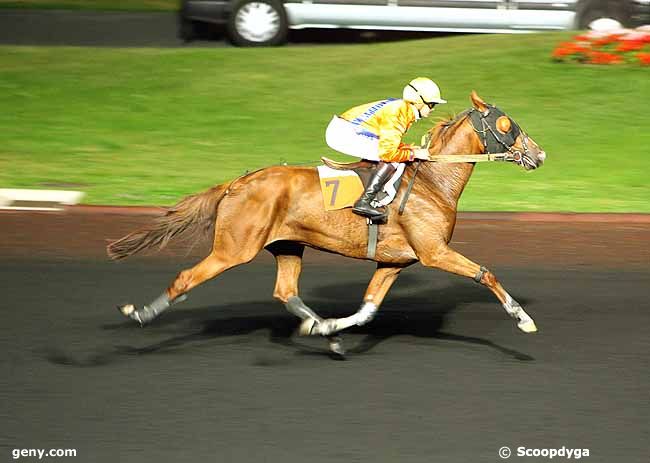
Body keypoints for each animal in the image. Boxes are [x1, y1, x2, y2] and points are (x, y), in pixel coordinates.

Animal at [109, 91, 544, 358]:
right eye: (507, 125)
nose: (539, 154)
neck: (434, 182)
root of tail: (237, 182)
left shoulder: (394, 262)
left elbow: (368, 310)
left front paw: (331, 329)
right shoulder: (434, 252)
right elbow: (485, 273)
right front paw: (523, 319)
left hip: (287, 245)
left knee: (286, 292)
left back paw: (325, 332)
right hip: (234, 248)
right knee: (187, 278)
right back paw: (140, 314)